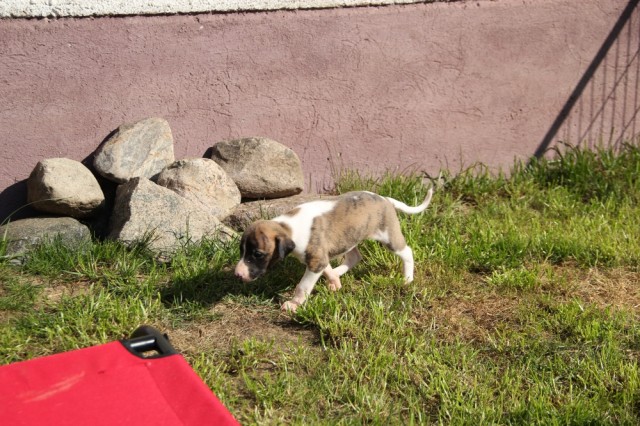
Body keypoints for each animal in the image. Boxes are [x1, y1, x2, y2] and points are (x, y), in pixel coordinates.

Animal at [234, 187, 433, 312]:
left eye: (257, 254)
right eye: (241, 251)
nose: (238, 275)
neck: (288, 226)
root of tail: (385, 199)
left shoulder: (316, 260)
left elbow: (302, 286)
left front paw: (293, 304)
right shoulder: (319, 257)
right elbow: (326, 268)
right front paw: (334, 281)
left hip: (389, 237)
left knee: (407, 252)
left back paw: (407, 279)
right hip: (347, 239)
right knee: (354, 258)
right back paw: (337, 275)